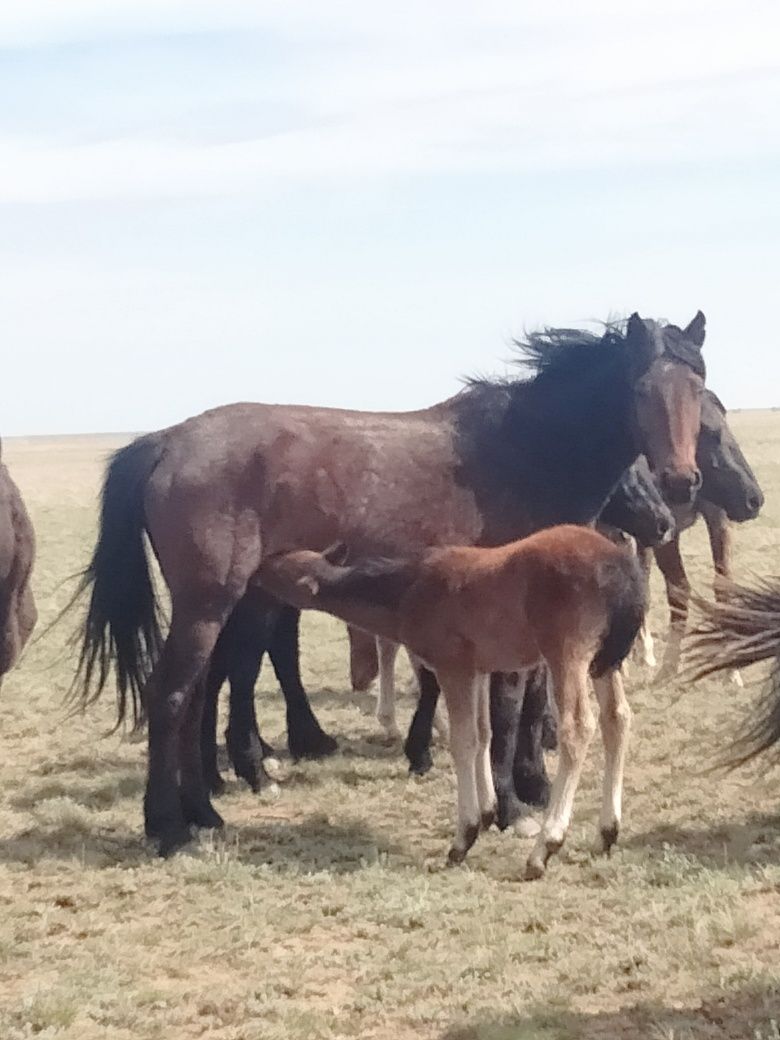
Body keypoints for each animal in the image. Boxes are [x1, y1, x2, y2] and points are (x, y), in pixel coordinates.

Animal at [261, 528, 648, 877]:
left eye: (279, 571)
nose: (254, 576)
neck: (408, 592)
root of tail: (620, 564)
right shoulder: (478, 669)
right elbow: (483, 733)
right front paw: (489, 810)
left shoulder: (452, 667)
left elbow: (463, 740)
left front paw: (465, 835)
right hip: (604, 662)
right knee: (618, 718)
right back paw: (607, 832)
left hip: (567, 653)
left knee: (578, 728)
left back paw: (545, 846)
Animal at [636, 391, 765, 682]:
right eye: (705, 432)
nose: (754, 499)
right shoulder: (665, 534)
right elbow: (679, 591)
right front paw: (669, 666)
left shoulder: (718, 519)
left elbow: (723, 585)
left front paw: (731, 669)